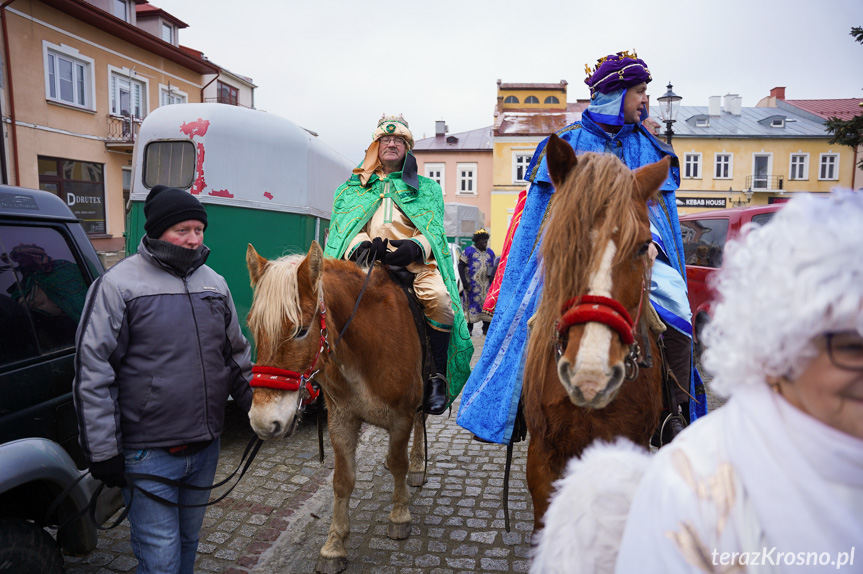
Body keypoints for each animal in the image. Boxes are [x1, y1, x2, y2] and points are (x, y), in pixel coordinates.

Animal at [245, 243, 426, 574]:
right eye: (253, 325)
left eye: (301, 330)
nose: (263, 422)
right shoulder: (341, 419)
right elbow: (342, 481)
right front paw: (334, 544)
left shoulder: (401, 417)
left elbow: (398, 463)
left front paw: (399, 515)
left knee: (422, 422)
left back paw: (418, 465)